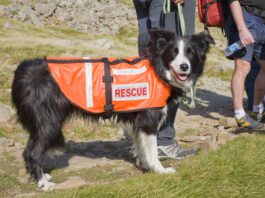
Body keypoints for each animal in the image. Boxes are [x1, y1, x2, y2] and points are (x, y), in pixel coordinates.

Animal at [11, 28, 212, 191]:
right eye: (173, 52)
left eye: (190, 53)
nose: (184, 66)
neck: (159, 71)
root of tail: (23, 69)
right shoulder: (148, 120)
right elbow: (152, 150)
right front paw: (160, 170)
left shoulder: (136, 121)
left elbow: (140, 146)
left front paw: (144, 165)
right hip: (49, 122)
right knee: (34, 152)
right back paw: (43, 183)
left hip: (40, 123)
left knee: (27, 151)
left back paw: (39, 175)